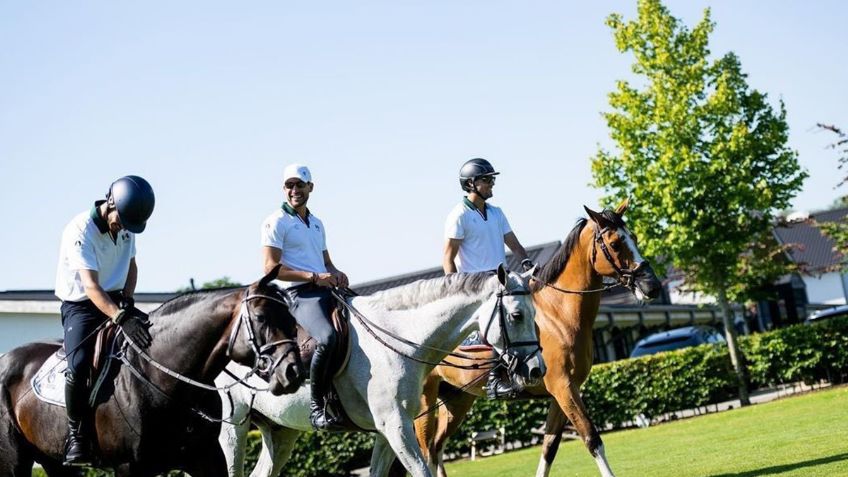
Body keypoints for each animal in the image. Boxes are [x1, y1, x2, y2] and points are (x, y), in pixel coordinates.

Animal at [0, 266, 304, 474]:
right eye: (261, 318)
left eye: (291, 318)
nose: (293, 371)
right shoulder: (129, 467)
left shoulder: (206, 458)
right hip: (14, 459)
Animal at [390, 201, 664, 476]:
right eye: (616, 244)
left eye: (634, 238)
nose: (652, 287)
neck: (558, 314)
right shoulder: (563, 387)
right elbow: (592, 439)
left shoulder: (563, 392)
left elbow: (549, 447)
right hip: (426, 401)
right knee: (426, 452)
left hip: (457, 400)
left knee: (436, 449)